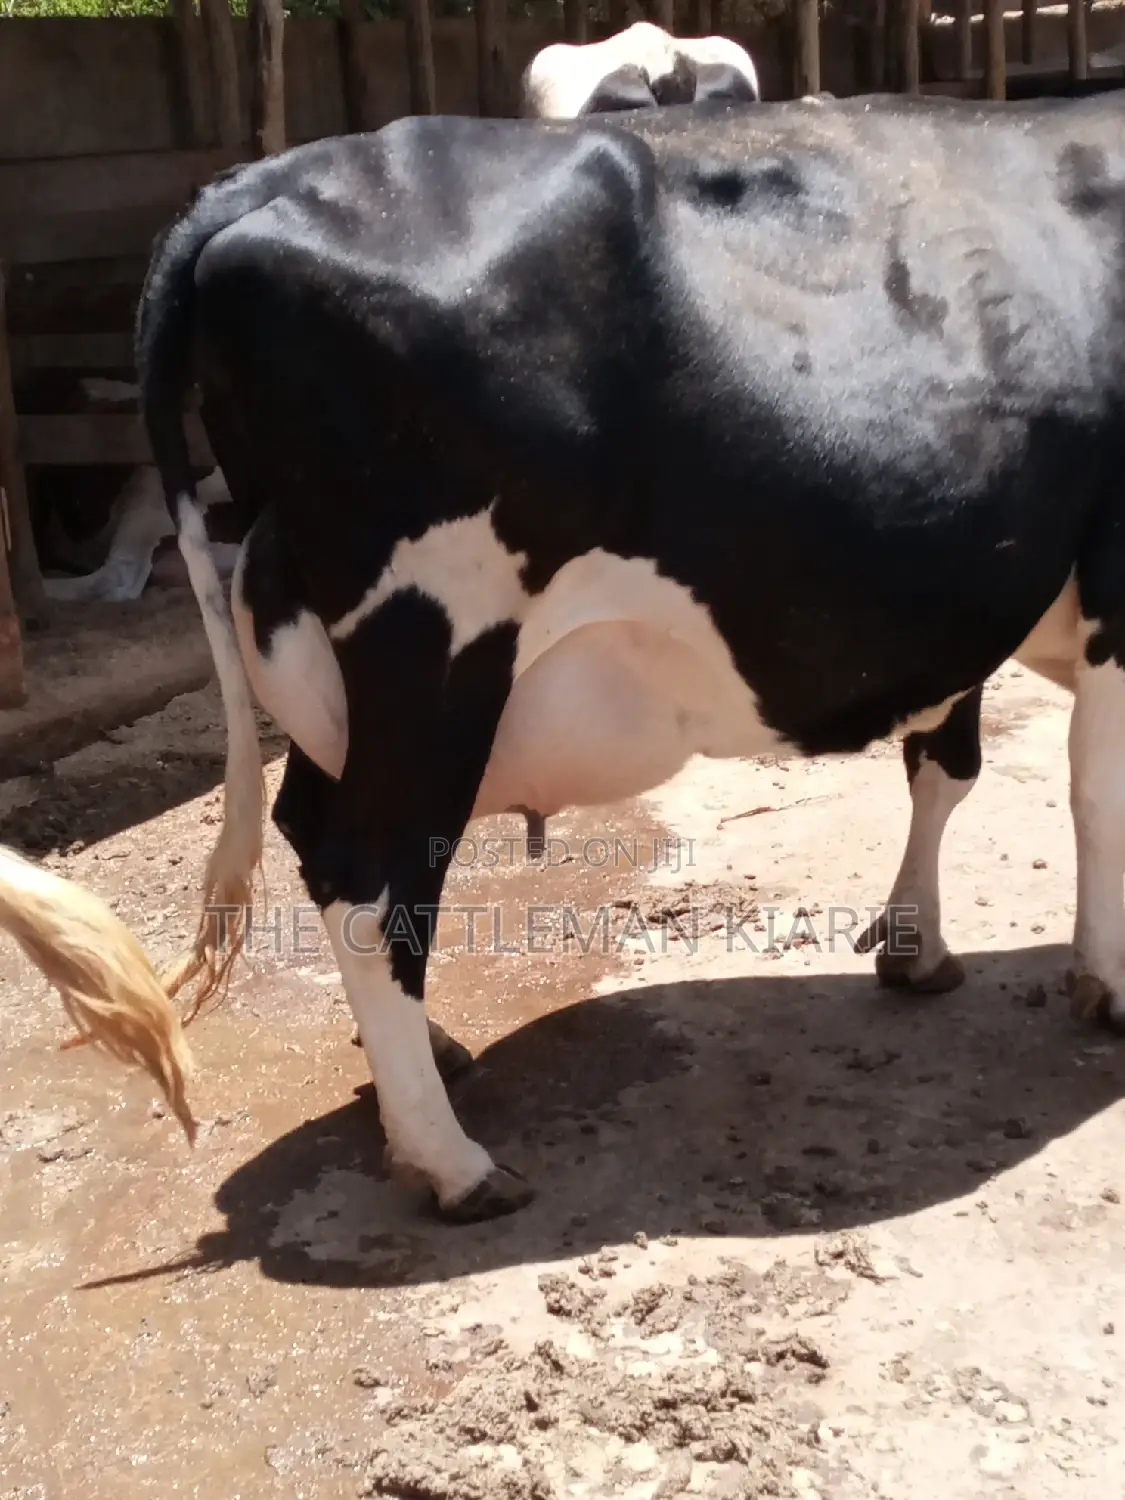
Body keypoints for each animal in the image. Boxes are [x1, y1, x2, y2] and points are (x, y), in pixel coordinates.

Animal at [2, 89, 1125, 1225]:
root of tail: (256, 181)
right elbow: (1094, 787)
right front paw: (1107, 985)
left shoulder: (977, 594)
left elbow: (947, 764)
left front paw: (916, 945)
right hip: (433, 649)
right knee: (367, 871)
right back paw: (450, 1161)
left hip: (331, 662)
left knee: (312, 830)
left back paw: (423, 1064)